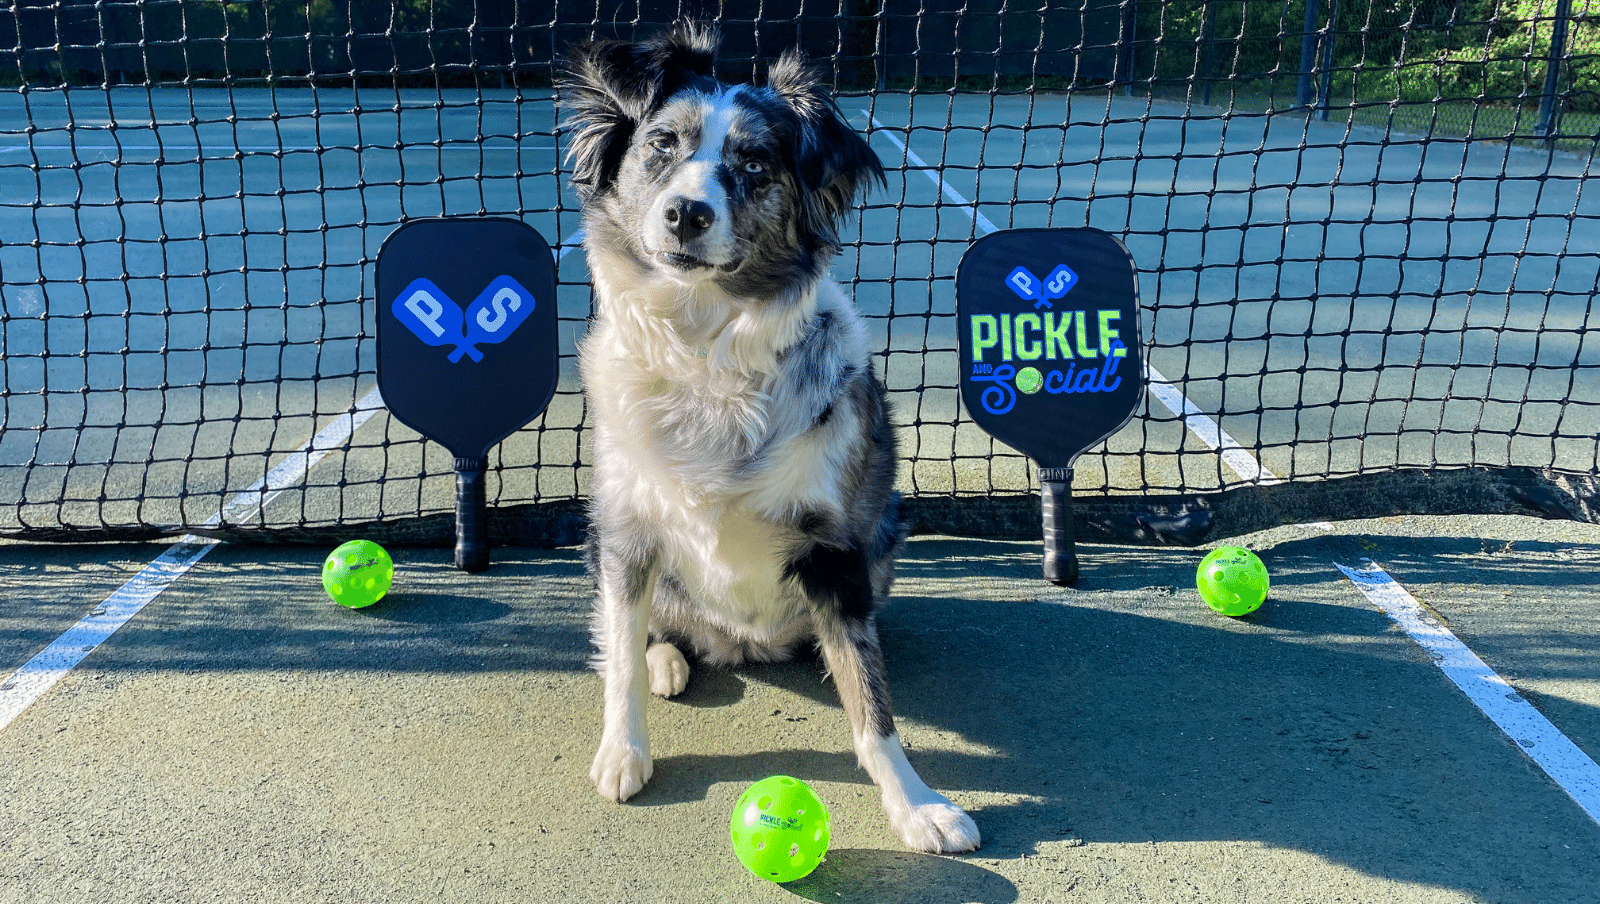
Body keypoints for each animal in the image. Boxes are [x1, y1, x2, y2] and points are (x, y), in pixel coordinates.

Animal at [563, 22, 979, 851]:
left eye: (755, 164)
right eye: (662, 143)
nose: (686, 214)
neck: (704, 351)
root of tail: (741, 645)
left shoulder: (835, 551)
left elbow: (872, 706)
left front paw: (916, 804)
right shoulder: (625, 530)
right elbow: (619, 656)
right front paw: (622, 752)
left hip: (885, 534)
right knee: (647, 634)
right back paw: (669, 661)